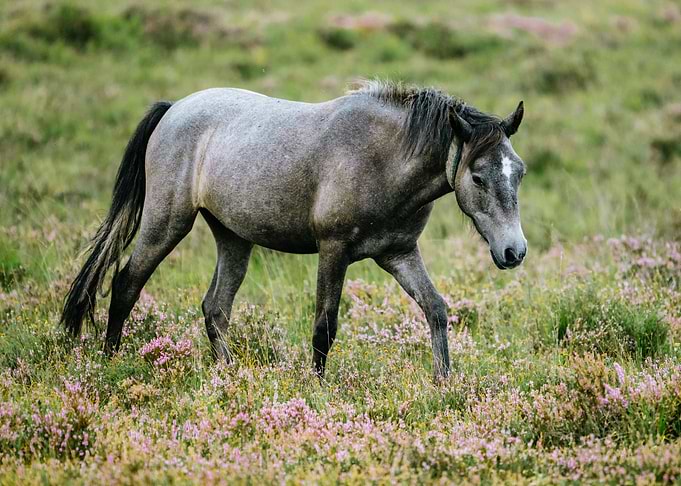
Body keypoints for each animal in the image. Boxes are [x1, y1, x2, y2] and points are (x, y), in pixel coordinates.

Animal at [61, 80, 527, 379]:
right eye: (479, 177)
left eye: (519, 172)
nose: (514, 252)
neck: (383, 158)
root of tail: (174, 108)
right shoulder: (334, 251)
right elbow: (325, 325)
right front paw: (317, 389)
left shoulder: (398, 254)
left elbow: (436, 309)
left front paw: (444, 384)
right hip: (166, 223)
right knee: (126, 284)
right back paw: (110, 362)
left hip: (233, 237)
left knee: (215, 308)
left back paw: (229, 375)